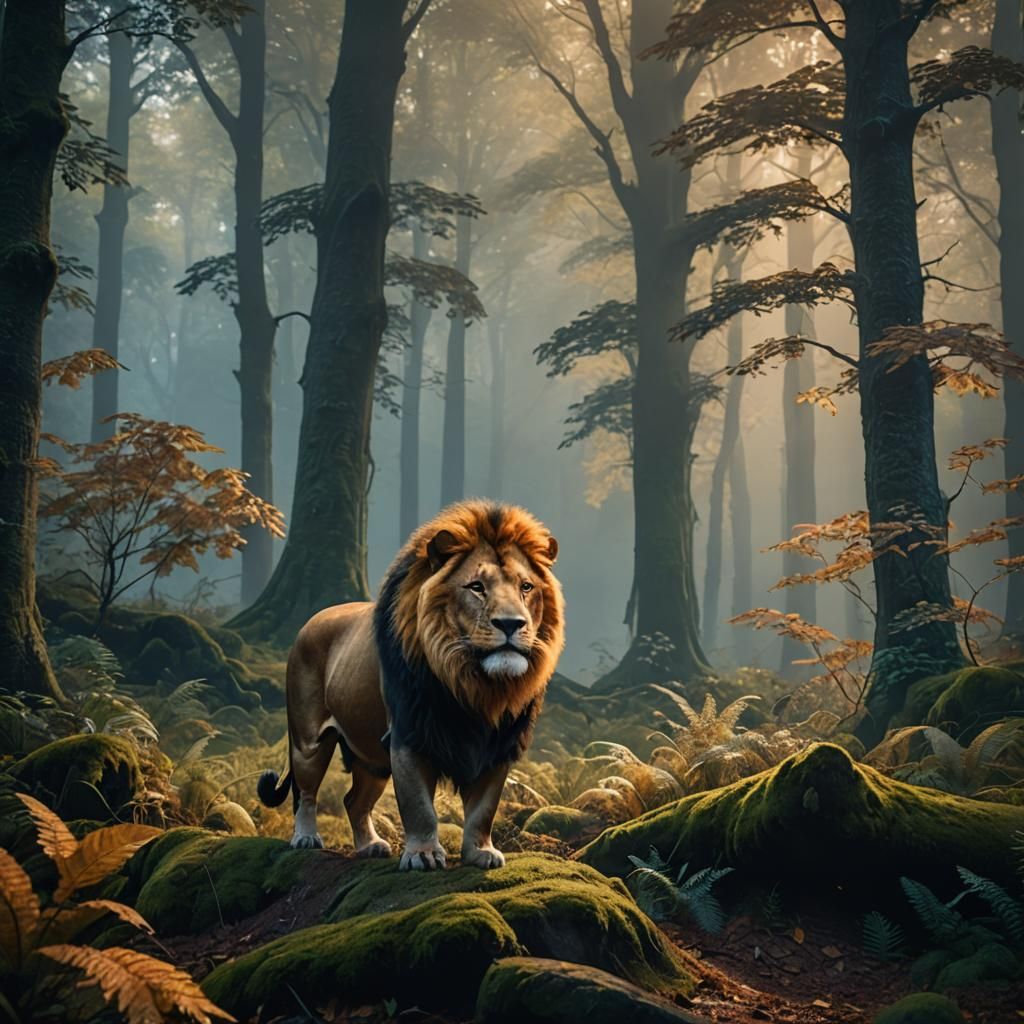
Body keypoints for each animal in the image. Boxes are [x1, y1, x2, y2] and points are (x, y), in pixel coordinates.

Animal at [257, 499, 564, 870]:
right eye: (477, 586)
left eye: (526, 587)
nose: (511, 623)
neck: (475, 684)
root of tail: (309, 622)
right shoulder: (408, 736)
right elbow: (419, 806)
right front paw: (423, 855)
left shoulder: (498, 744)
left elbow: (484, 809)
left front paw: (480, 852)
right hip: (309, 742)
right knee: (306, 793)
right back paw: (305, 838)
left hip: (371, 758)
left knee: (353, 800)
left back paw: (370, 846)